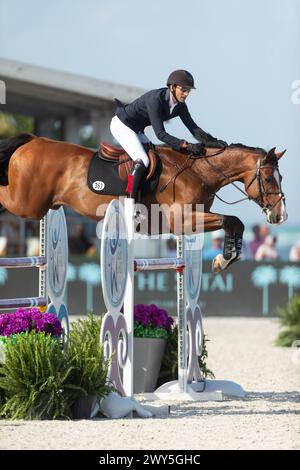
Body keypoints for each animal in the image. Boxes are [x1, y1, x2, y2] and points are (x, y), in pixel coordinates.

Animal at [0, 133, 288, 272]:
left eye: (281, 177)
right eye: (268, 178)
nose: (280, 216)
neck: (199, 171)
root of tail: (32, 141)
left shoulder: (191, 221)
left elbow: (235, 223)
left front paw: (224, 260)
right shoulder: (181, 220)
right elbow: (232, 220)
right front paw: (223, 259)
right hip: (26, 203)